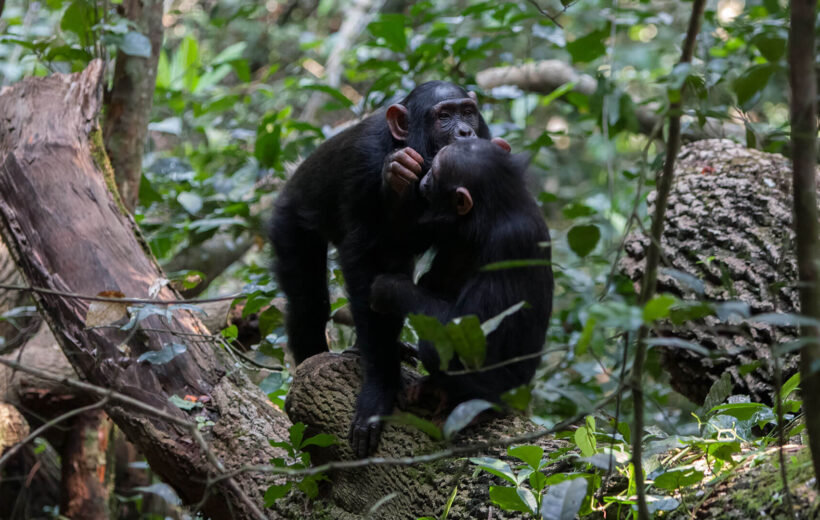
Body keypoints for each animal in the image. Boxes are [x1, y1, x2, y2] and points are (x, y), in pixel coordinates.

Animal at [272, 79, 510, 458]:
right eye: (443, 116)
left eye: (468, 112)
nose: (464, 131)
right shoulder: (363, 164)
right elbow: (363, 262)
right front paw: (378, 393)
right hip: (288, 220)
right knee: (309, 303)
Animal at [370, 138, 552, 410]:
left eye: (434, 173)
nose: (424, 178)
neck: (490, 214)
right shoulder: (445, 226)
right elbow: (399, 243)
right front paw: (396, 168)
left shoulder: (509, 243)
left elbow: (469, 328)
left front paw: (387, 288)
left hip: (505, 388)